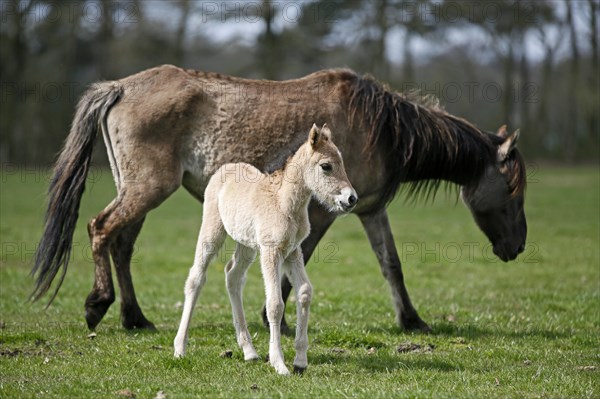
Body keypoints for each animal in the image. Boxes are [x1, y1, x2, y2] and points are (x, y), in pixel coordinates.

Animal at [30, 66, 528, 334]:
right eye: (513, 191)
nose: (518, 246)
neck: (379, 126)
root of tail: (120, 86)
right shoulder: (323, 213)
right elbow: (294, 263)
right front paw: (279, 322)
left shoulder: (370, 210)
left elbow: (392, 265)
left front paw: (413, 321)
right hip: (146, 189)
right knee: (101, 229)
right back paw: (98, 305)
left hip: (136, 190)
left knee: (121, 244)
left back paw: (135, 318)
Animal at [172, 124, 356, 376]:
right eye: (326, 166)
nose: (351, 199)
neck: (285, 204)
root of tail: (227, 167)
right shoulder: (271, 251)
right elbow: (275, 304)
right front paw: (279, 363)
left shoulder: (293, 251)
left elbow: (305, 292)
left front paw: (300, 361)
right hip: (212, 231)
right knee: (196, 278)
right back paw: (180, 348)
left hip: (247, 245)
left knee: (233, 276)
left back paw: (249, 351)